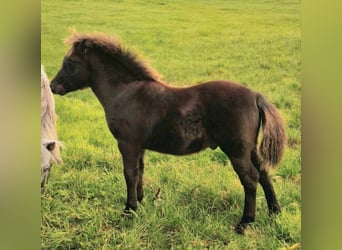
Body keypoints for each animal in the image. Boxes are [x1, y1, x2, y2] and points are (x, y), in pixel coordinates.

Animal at [51, 32, 286, 233]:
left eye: (70, 63)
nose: (53, 86)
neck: (125, 93)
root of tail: (256, 96)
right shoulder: (139, 145)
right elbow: (139, 171)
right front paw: (140, 200)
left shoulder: (127, 143)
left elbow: (129, 173)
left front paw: (129, 210)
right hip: (250, 149)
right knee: (264, 173)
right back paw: (275, 212)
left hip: (236, 150)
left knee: (250, 179)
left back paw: (245, 223)